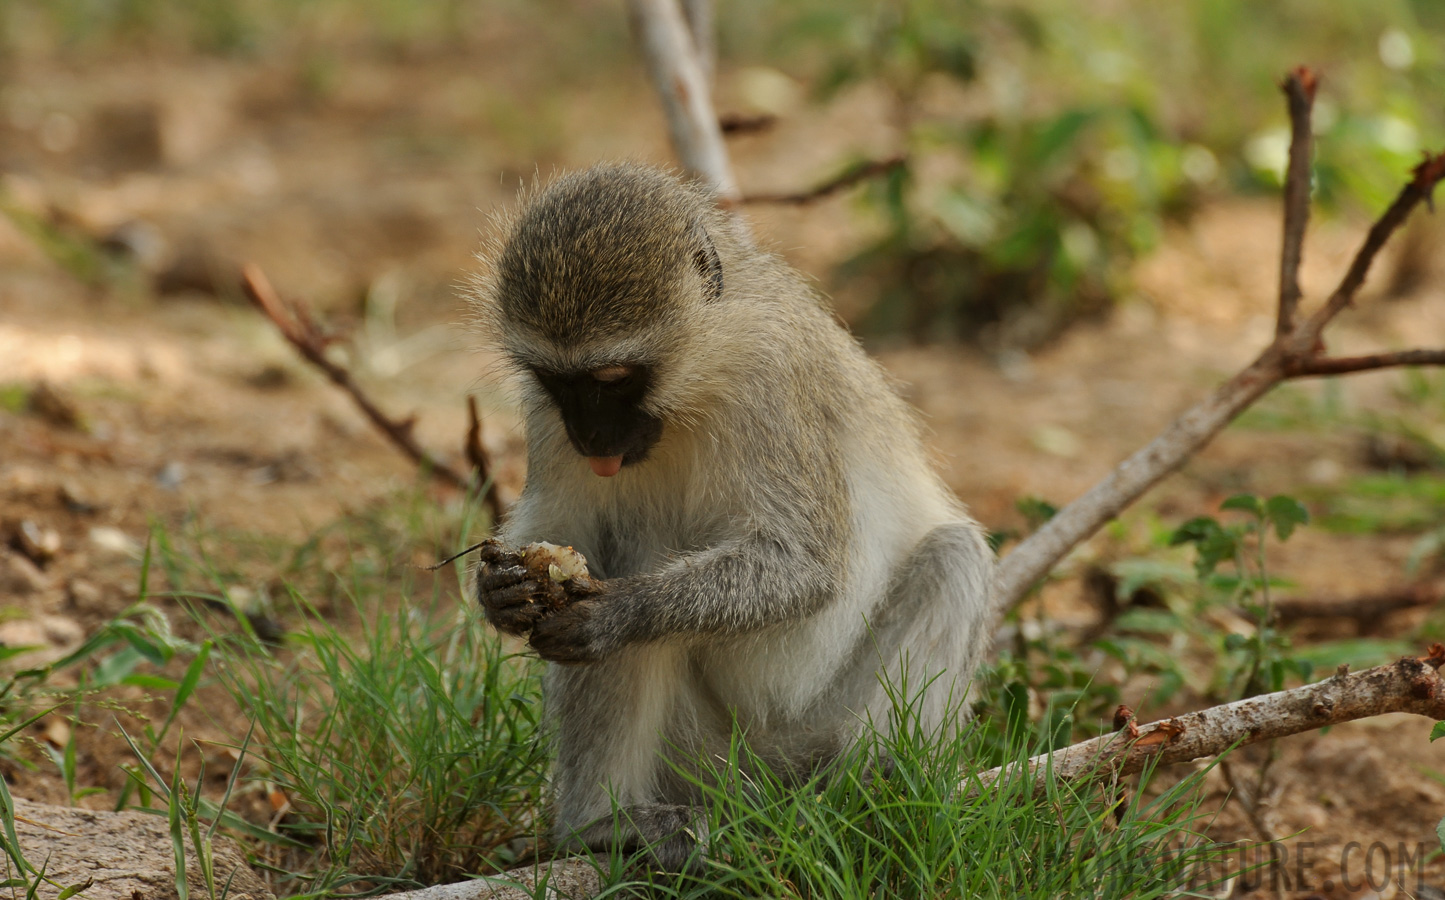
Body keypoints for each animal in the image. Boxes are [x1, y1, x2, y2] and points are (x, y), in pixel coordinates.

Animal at [471, 163, 994, 872]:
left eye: (612, 378)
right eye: (558, 382)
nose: (589, 437)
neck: (697, 382)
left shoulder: (772, 376)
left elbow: (805, 564)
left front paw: (619, 613)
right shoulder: (545, 417)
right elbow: (564, 529)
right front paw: (499, 590)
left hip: (813, 731)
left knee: (953, 558)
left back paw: (875, 789)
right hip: (704, 762)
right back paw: (601, 826)